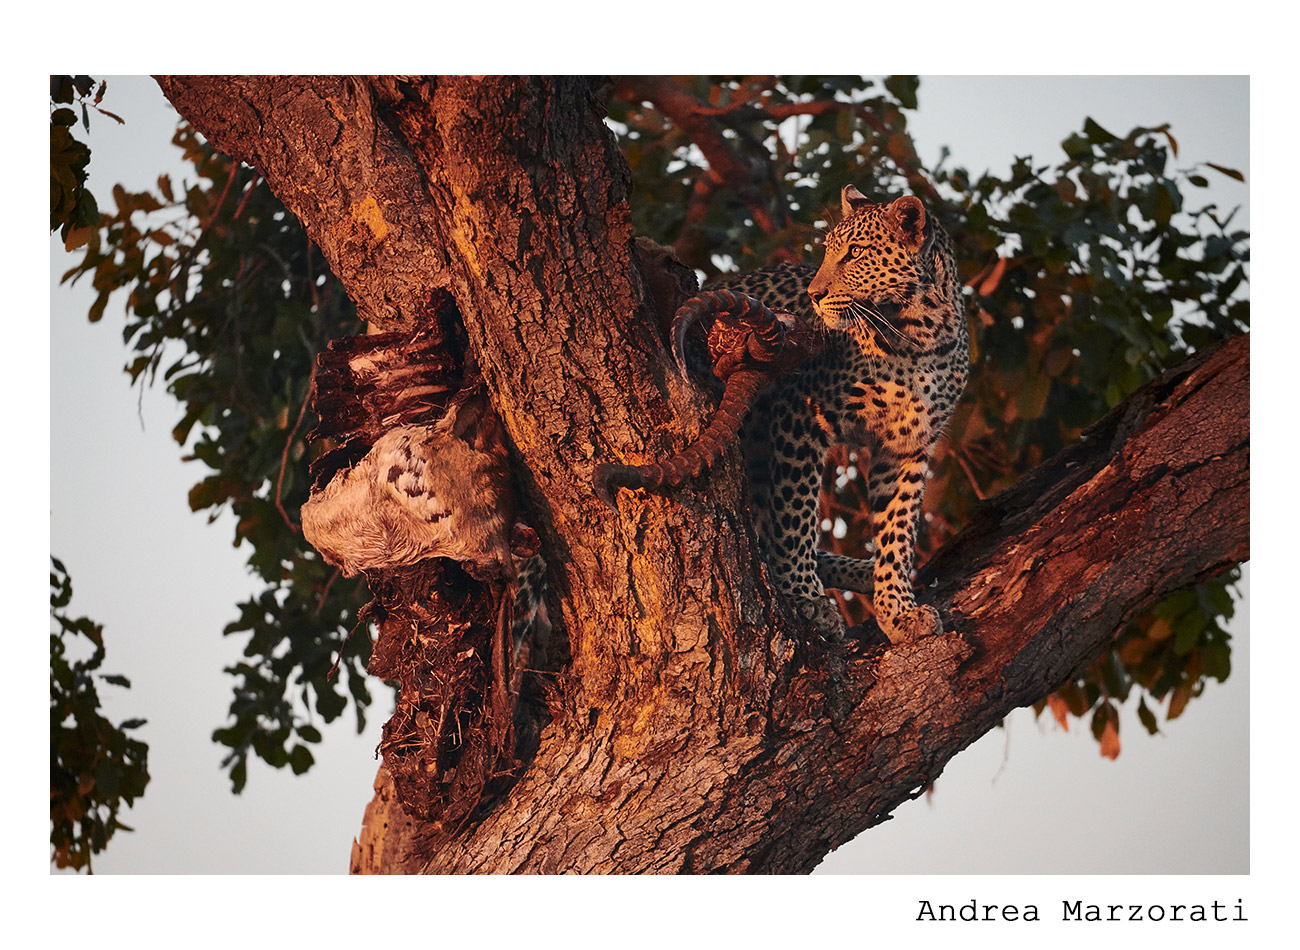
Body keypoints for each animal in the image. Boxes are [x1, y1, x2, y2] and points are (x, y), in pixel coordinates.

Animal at [598, 186, 969, 642]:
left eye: (856, 253)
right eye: (828, 251)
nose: (814, 295)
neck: (917, 334)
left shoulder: (907, 446)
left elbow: (897, 528)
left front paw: (898, 610)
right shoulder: (802, 414)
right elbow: (796, 515)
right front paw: (807, 599)